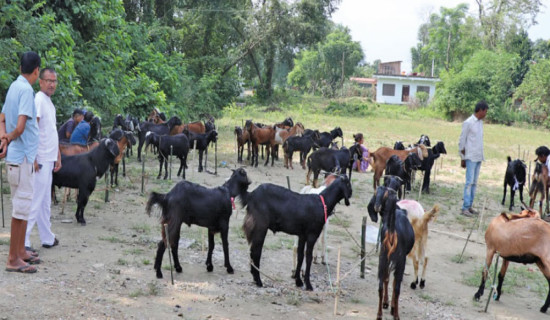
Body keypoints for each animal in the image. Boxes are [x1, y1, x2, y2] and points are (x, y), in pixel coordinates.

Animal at [368, 178, 416, 320]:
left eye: (381, 195)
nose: (376, 206)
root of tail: (391, 230)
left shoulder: (387, 260)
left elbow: (386, 279)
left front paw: (386, 303)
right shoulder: (397, 260)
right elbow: (394, 283)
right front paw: (391, 306)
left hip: (383, 258)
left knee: (380, 284)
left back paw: (379, 314)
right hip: (400, 261)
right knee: (397, 287)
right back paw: (396, 314)